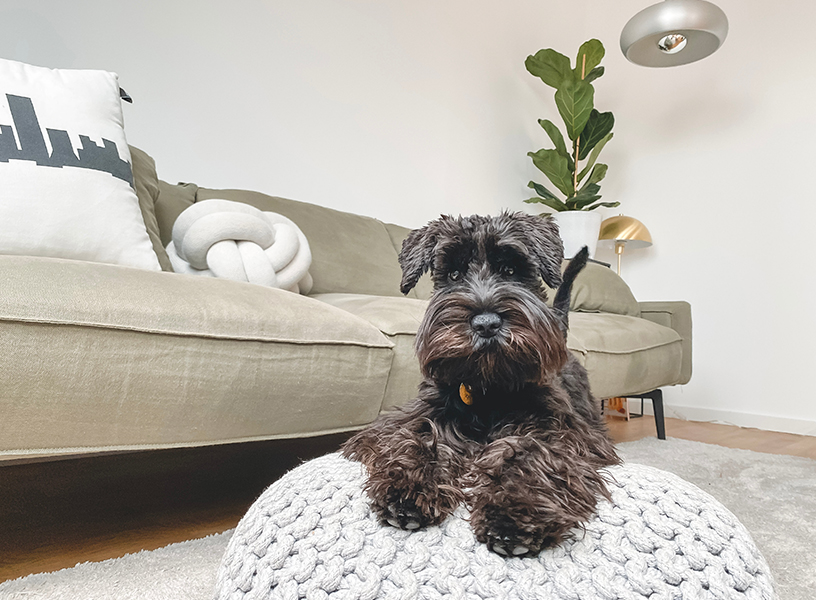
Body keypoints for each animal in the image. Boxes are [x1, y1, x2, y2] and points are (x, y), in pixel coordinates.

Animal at [342, 212, 620, 556]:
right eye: (453, 273)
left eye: (511, 270)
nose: (486, 324)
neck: (490, 386)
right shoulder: (413, 418)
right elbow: (420, 438)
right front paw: (407, 488)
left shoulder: (562, 432)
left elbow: (530, 453)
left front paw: (513, 513)